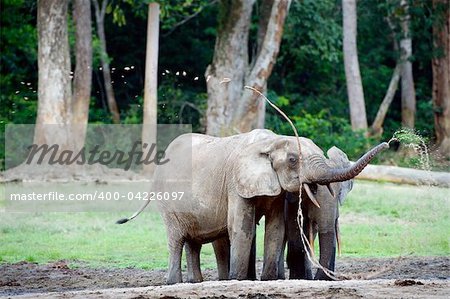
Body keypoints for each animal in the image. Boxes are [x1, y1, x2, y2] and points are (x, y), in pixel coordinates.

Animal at [118, 130, 388, 284]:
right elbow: (242, 227)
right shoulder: (236, 181)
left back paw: (196, 283)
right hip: (168, 200)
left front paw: (267, 280)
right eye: (293, 160)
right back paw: (174, 283)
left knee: (193, 241)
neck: (272, 142)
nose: (388, 143)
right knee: (177, 238)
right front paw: (238, 280)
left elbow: (275, 229)